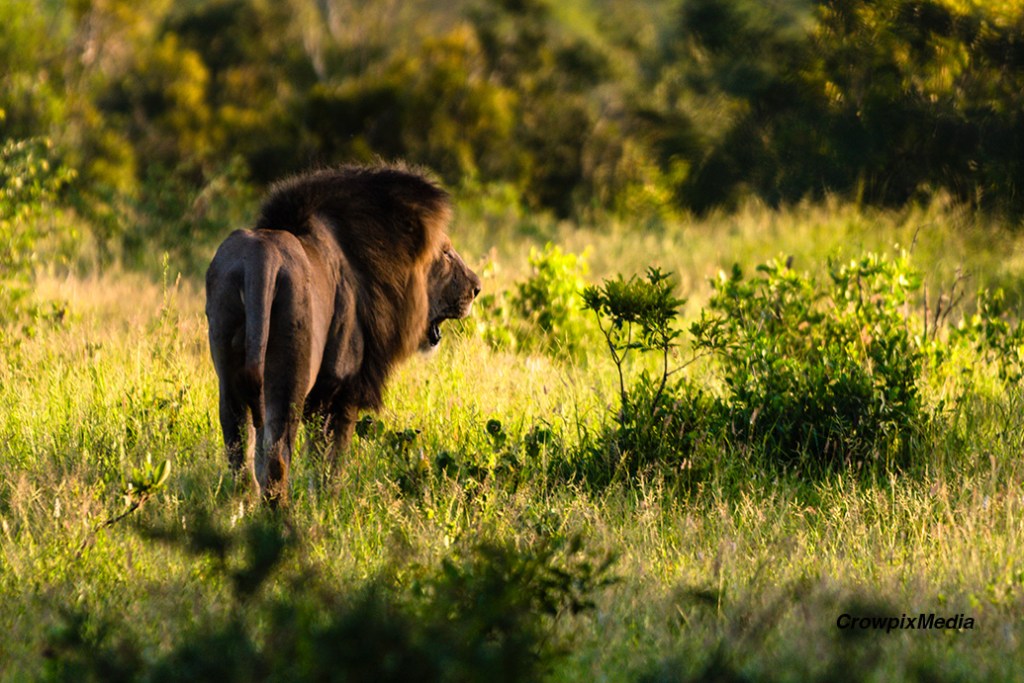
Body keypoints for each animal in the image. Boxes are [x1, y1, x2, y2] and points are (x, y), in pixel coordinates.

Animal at [205, 165, 481, 502]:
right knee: (276, 460)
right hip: (290, 381)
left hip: (229, 380)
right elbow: (332, 461)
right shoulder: (340, 388)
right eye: (445, 253)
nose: (477, 287)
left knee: (240, 460)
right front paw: (328, 503)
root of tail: (259, 261)